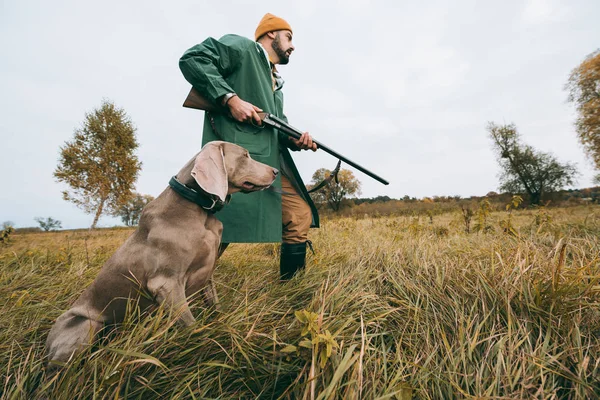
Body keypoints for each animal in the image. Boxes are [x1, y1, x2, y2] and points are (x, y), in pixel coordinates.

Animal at [45, 141, 278, 368]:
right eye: (245, 155)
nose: (276, 171)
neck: (197, 207)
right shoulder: (166, 284)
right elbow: (191, 325)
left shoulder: (208, 275)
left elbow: (216, 307)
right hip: (84, 325)